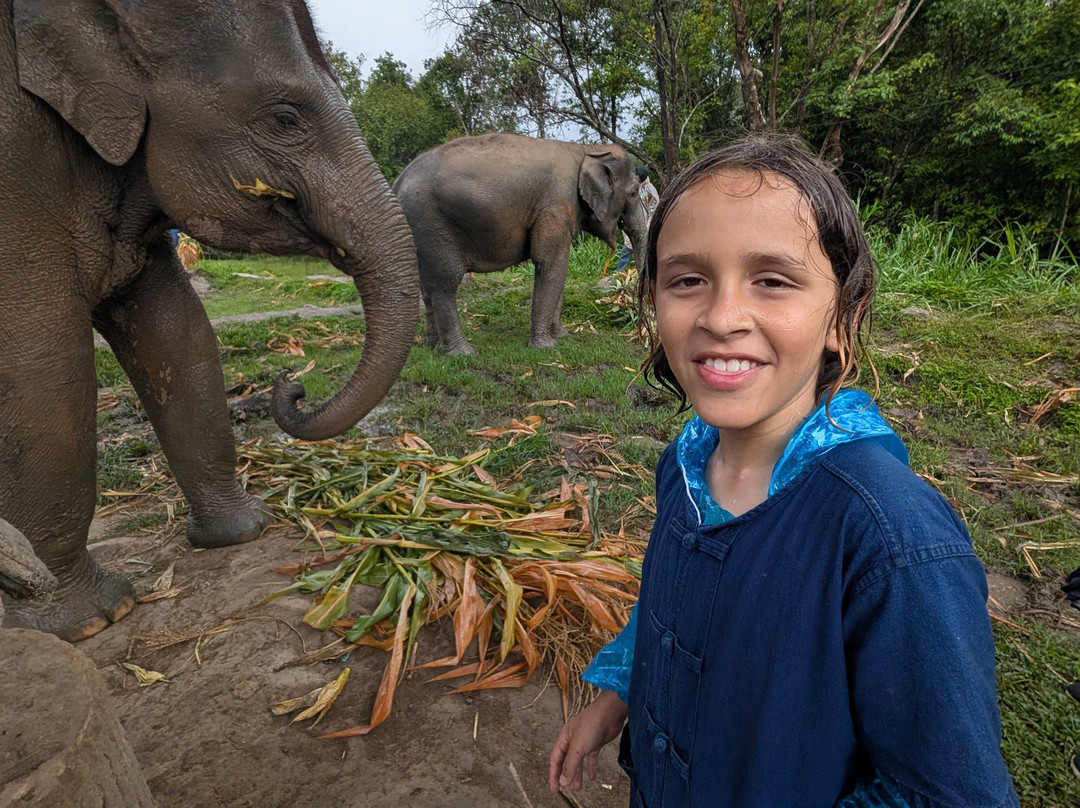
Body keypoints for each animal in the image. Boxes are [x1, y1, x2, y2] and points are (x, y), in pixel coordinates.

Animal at [0, 0, 420, 641]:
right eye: (284, 119)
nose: (291, 384)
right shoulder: (16, 165)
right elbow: (40, 357)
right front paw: (88, 622)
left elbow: (178, 329)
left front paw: (243, 533)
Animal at [392, 133, 649, 355]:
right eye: (634, 193)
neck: (588, 149)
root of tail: (398, 181)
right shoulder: (555, 205)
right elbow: (551, 261)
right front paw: (546, 346)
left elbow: (559, 267)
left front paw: (561, 335)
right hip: (431, 222)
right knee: (445, 282)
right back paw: (461, 353)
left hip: (421, 231)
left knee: (427, 284)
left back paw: (433, 346)